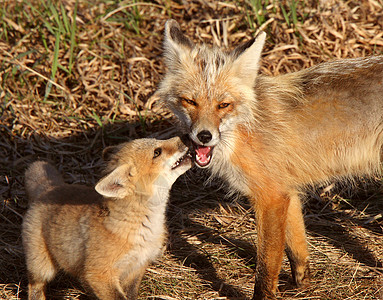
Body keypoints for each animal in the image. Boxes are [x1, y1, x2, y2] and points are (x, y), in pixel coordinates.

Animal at [21, 138, 192, 300]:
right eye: (157, 152)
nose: (186, 137)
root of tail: (50, 188)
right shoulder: (99, 273)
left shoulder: (137, 267)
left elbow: (130, 295)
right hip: (42, 267)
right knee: (34, 286)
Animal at [158, 19, 382, 298]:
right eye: (190, 101)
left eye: (224, 105)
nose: (204, 136)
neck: (242, 133)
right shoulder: (287, 191)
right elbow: (296, 249)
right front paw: (302, 285)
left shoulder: (270, 198)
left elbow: (266, 267)